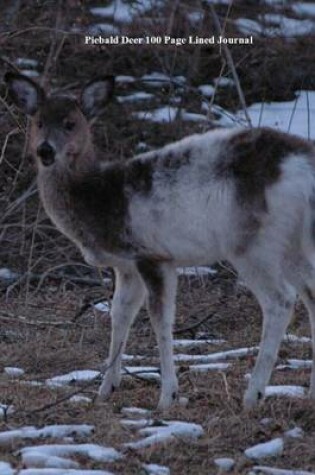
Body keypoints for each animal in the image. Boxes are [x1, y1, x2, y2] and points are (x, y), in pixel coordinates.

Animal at [5, 72, 315, 410]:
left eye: (70, 123)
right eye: (38, 122)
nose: (45, 151)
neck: (100, 199)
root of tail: (302, 167)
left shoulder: (152, 255)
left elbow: (160, 320)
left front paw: (168, 395)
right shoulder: (126, 265)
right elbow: (119, 314)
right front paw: (106, 388)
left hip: (254, 243)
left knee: (280, 300)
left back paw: (253, 394)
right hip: (292, 243)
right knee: (311, 292)